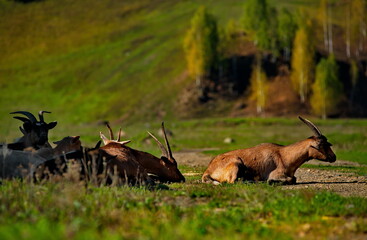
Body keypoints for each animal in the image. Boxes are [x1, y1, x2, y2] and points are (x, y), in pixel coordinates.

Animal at [203, 117, 338, 185]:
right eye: (323, 144)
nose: (334, 157)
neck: (284, 155)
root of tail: (208, 171)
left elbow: (294, 178)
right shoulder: (276, 174)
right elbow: (290, 179)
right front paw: (270, 181)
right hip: (236, 163)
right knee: (233, 181)